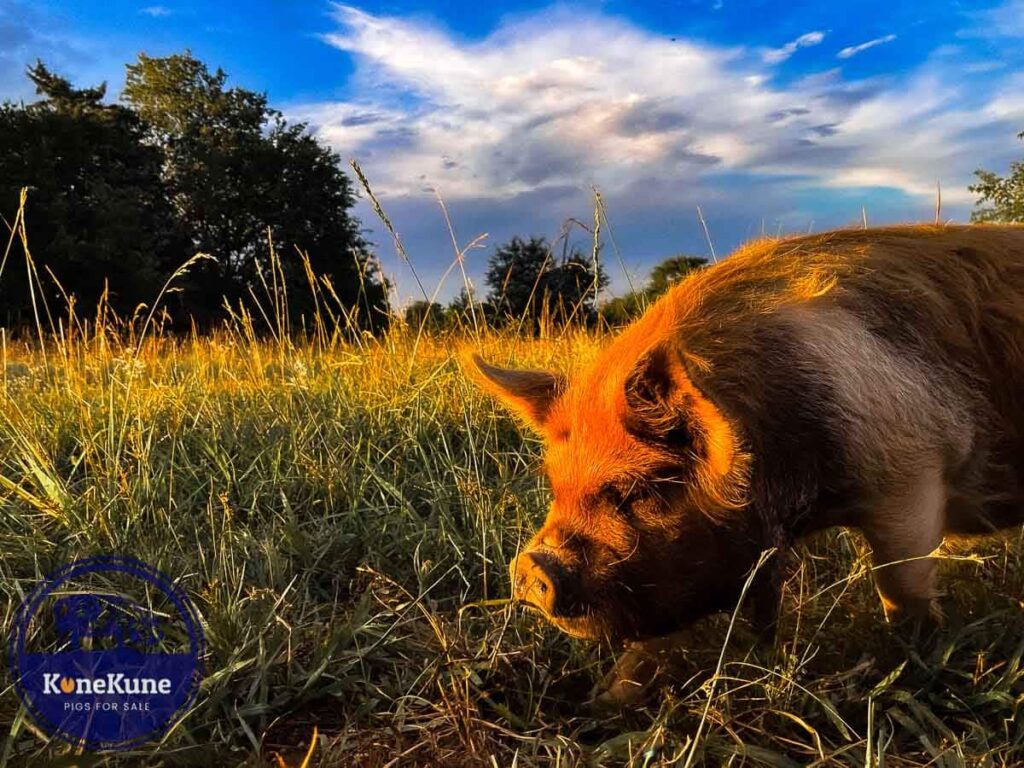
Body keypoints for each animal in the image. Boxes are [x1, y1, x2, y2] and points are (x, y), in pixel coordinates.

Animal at [468, 224, 1024, 708]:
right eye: (555, 486)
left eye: (638, 491)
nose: (529, 568)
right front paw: (604, 700)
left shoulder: (911, 472)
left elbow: (900, 590)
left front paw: (907, 669)